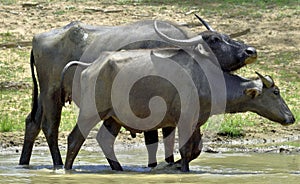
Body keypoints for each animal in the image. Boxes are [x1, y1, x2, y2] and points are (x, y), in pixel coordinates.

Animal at [19, 15, 256, 166]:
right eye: (215, 39)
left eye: (227, 36)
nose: (250, 51)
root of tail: (38, 38)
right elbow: (154, 142)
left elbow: (175, 143)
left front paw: (170, 164)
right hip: (52, 92)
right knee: (50, 127)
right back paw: (58, 165)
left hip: (44, 95)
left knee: (32, 123)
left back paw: (24, 163)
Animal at [62, 45, 294, 172]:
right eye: (276, 92)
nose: (291, 118)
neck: (206, 79)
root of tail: (89, 66)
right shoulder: (184, 120)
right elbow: (184, 149)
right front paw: (181, 169)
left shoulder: (196, 121)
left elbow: (195, 150)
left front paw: (170, 166)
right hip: (91, 112)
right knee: (74, 139)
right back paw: (67, 169)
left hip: (113, 118)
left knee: (104, 141)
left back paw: (119, 169)